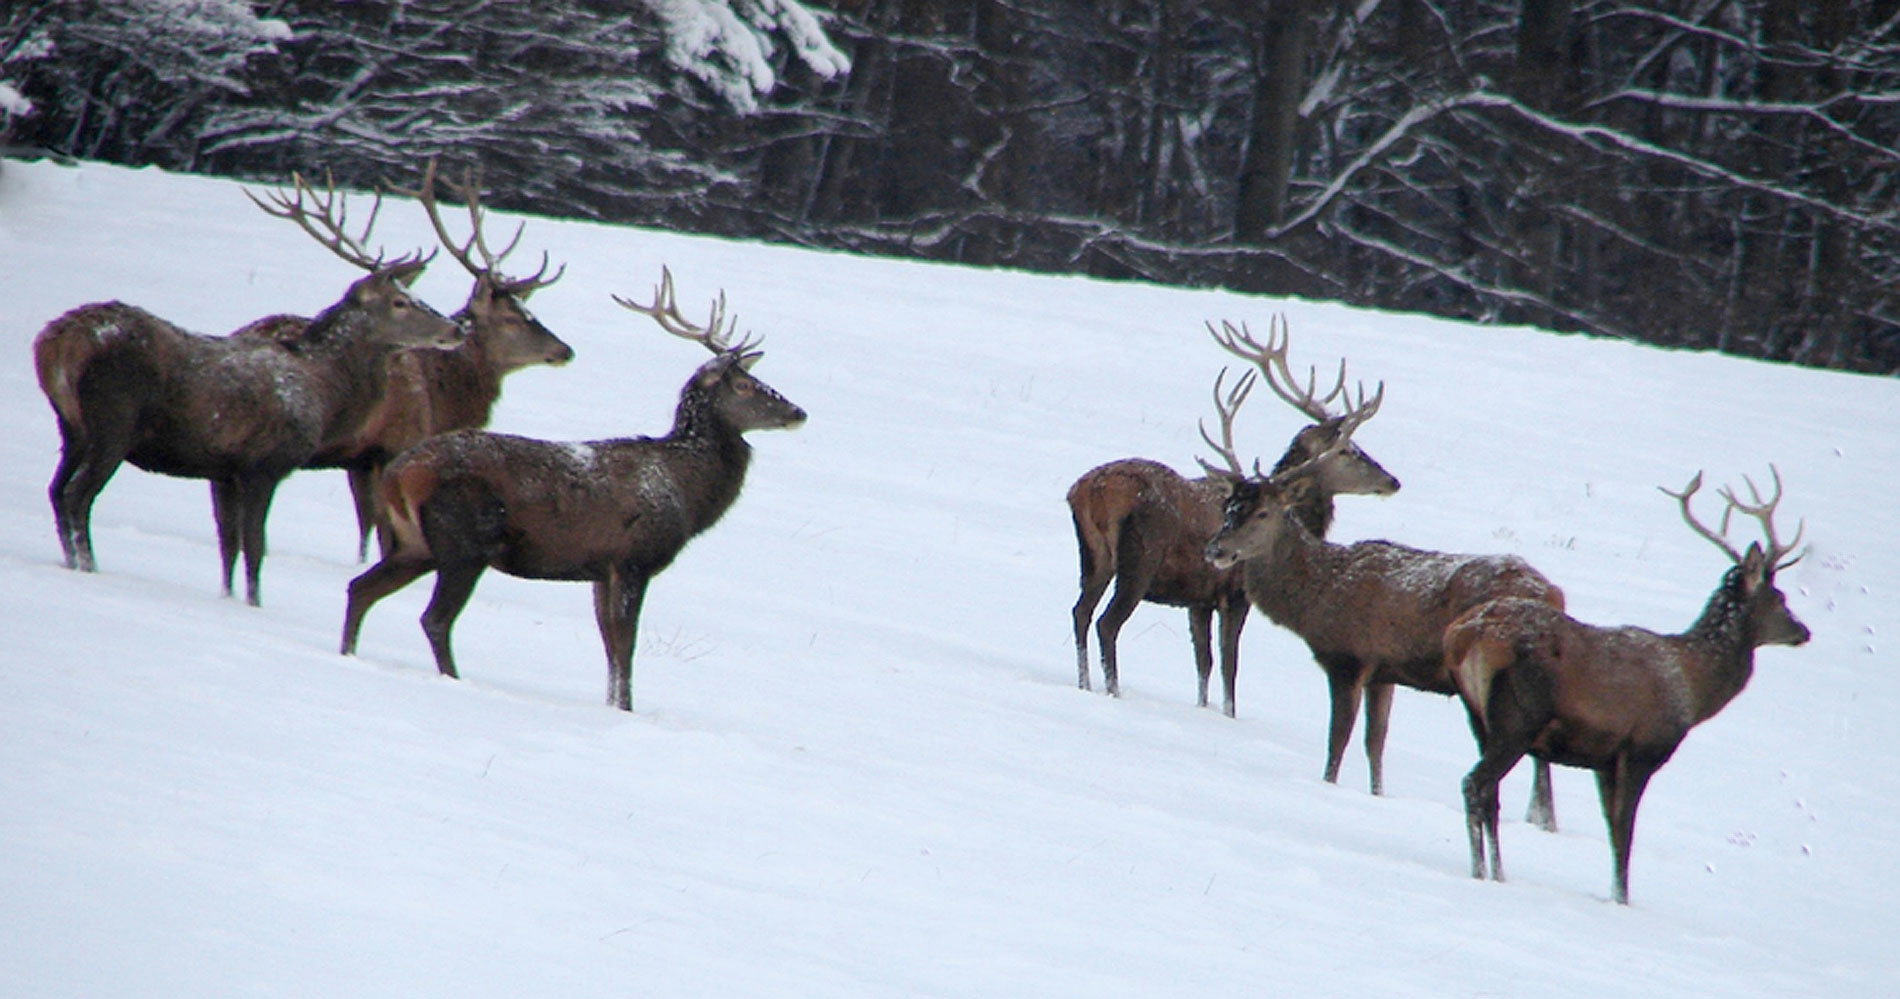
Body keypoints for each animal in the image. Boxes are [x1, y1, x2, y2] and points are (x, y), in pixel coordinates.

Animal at [36, 174, 459, 603]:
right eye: (400, 302)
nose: (455, 329)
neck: (325, 392)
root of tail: (57, 341)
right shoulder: (264, 463)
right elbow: (255, 547)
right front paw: (255, 604)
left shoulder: (224, 470)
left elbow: (228, 544)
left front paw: (227, 597)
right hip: (113, 420)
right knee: (77, 495)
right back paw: (88, 568)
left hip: (72, 426)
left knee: (56, 491)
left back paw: (71, 562)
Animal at [342, 267, 809, 714]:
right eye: (744, 385)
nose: (798, 412)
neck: (685, 492)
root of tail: (398, 474)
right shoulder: (633, 558)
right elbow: (625, 645)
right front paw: (625, 710)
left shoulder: (601, 568)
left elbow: (609, 646)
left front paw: (613, 705)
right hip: (464, 541)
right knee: (434, 619)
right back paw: (452, 679)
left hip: (416, 543)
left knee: (360, 588)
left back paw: (348, 654)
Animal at [1071, 320, 1398, 721]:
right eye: (1349, 451)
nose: (1392, 481)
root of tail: (1089, 491)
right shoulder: (1237, 593)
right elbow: (1229, 664)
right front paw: (1229, 714)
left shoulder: (1198, 599)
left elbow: (1203, 662)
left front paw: (1204, 707)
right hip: (1140, 560)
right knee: (1108, 623)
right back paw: (1112, 691)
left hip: (1093, 557)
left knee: (1081, 612)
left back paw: (1084, 683)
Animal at [1208, 431, 1565, 824]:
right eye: (1228, 508)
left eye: (1263, 512)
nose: (1215, 550)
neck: (1318, 594)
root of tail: (1554, 594)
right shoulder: (1383, 673)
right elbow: (1374, 743)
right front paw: (1377, 795)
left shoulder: (1347, 659)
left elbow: (1338, 740)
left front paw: (1328, 786)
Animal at [1451, 471, 1808, 907]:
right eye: (1780, 597)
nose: (1803, 631)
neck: (1693, 688)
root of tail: (1464, 635)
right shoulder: (1642, 749)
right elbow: (1625, 833)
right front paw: (1622, 899)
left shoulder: (1604, 760)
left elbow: (1612, 829)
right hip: (1517, 719)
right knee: (1476, 784)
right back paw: (1486, 874)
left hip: (1477, 717)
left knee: (1489, 793)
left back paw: (1492, 871)